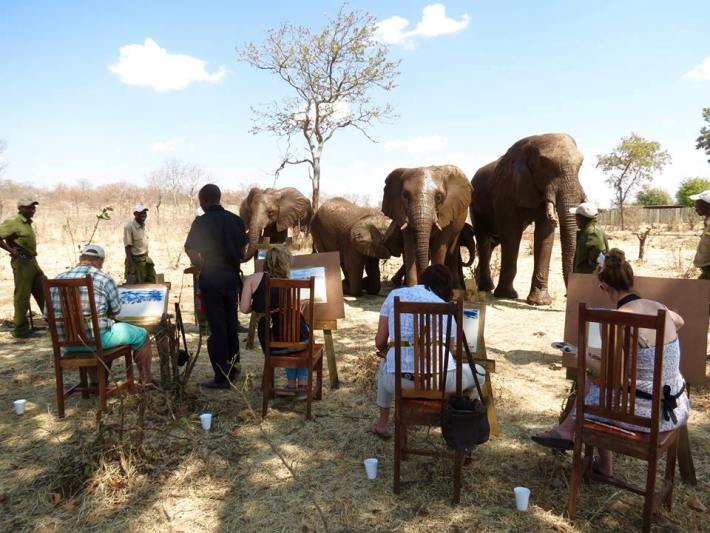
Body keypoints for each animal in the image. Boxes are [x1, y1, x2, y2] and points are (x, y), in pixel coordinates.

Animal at [471, 133, 586, 306]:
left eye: (581, 164)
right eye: (545, 165)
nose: (567, 296)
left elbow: (544, 235)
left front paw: (540, 302)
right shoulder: (505, 192)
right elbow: (511, 234)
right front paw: (506, 295)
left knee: (491, 243)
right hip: (474, 206)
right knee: (483, 240)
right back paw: (485, 288)